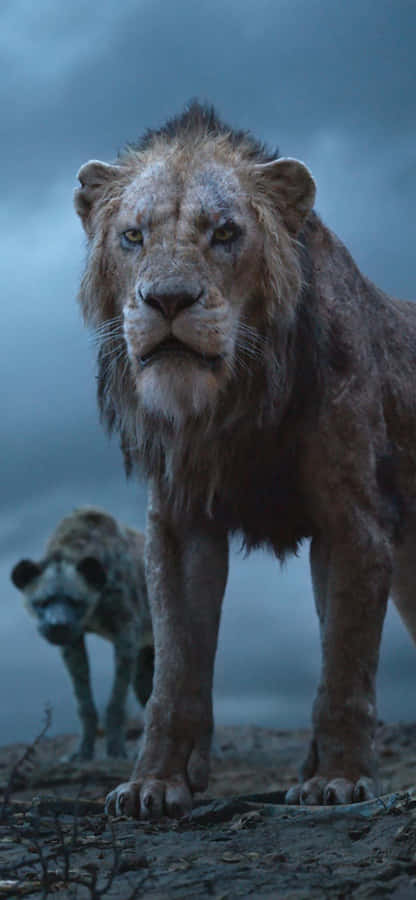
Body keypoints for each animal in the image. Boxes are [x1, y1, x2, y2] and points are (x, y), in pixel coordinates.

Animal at [74, 101, 416, 817]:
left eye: (226, 233)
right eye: (133, 236)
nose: (168, 300)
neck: (231, 401)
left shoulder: (354, 521)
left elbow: (344, 665)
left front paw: (338, 779)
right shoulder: (179, 524)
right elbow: (175, 670)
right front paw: (154, 784)